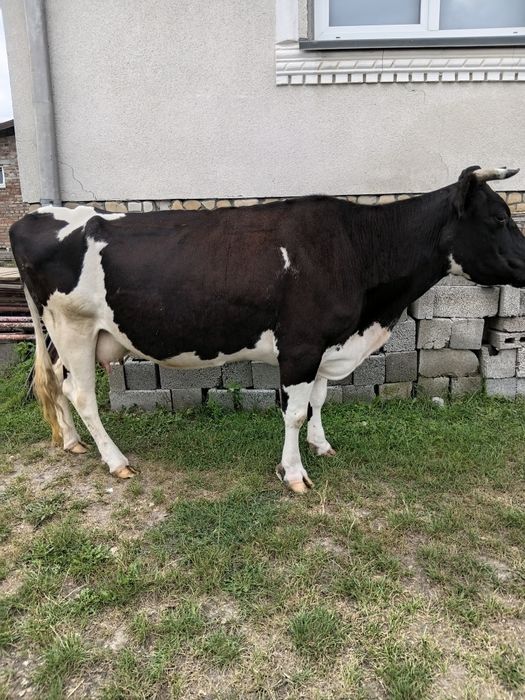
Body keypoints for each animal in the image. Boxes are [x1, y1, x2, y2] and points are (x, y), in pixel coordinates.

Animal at [9, 166, 525, 493]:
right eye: (499, 218)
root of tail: (34, 216)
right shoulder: (300, 344)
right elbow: (294, 411)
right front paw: (293, 474)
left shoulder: (323, 344)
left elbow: (318, 400)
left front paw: (321, 446)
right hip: (73, 329)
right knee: (82, 395)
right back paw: (116, 462)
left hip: (63, 335)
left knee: (56, 384)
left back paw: (72, 442)